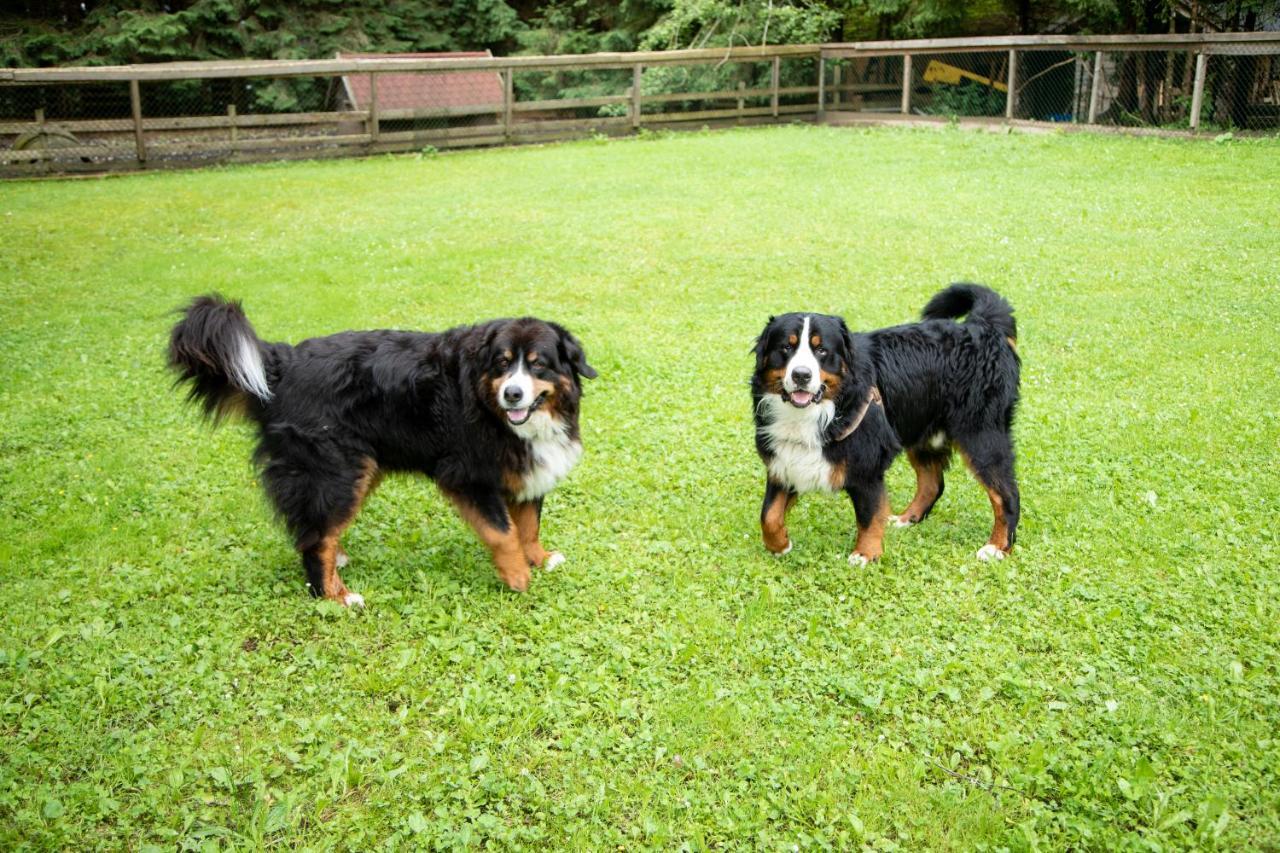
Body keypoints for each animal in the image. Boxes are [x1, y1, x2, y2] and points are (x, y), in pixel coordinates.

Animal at [166, 295, 599, 601]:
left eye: (538, 364)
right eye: (502, 363)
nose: (512, 394)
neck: (490, 408)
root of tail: (282, 363)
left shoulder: (527, 472)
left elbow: (528, 527)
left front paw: (539, 559)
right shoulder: (467, 475)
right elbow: (503, 532)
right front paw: (518, 576)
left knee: (317, 529)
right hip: (335, 472)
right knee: (314, 539)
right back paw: (335, 596)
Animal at [747, 281, 1018, 568]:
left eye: (821, 351)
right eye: (786, 348)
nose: (801, 375)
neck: (819, 412)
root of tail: (982, 327)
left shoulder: (866, 466)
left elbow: (869, 515)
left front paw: (865, 554)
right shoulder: (785, 460)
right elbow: (769, 515)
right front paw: (780, 545)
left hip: (981, 436)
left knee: (1006, 495)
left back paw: (997, 547)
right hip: (924, 432)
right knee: (933, 484)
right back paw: (907, 519)